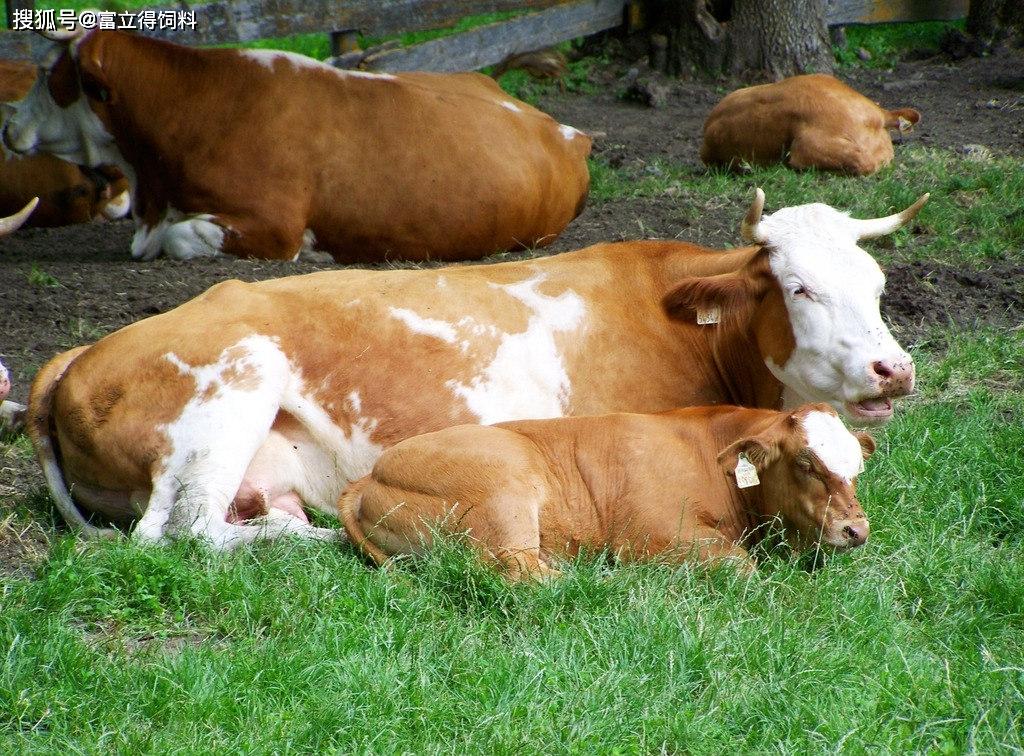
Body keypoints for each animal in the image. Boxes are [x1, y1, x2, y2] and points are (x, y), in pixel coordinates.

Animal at [25, 187, 921, 549]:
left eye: (877, 283)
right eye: (800, 288)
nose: (894, 369)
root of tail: (79, 352)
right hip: (231, 388)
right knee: (180, 532)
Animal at [339, 403, 876, 573]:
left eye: (857, 469)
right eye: (806, 462)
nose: (857, 531)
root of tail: (369, 475)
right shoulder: (655, 535)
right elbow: (741, 567)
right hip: (505, 489)